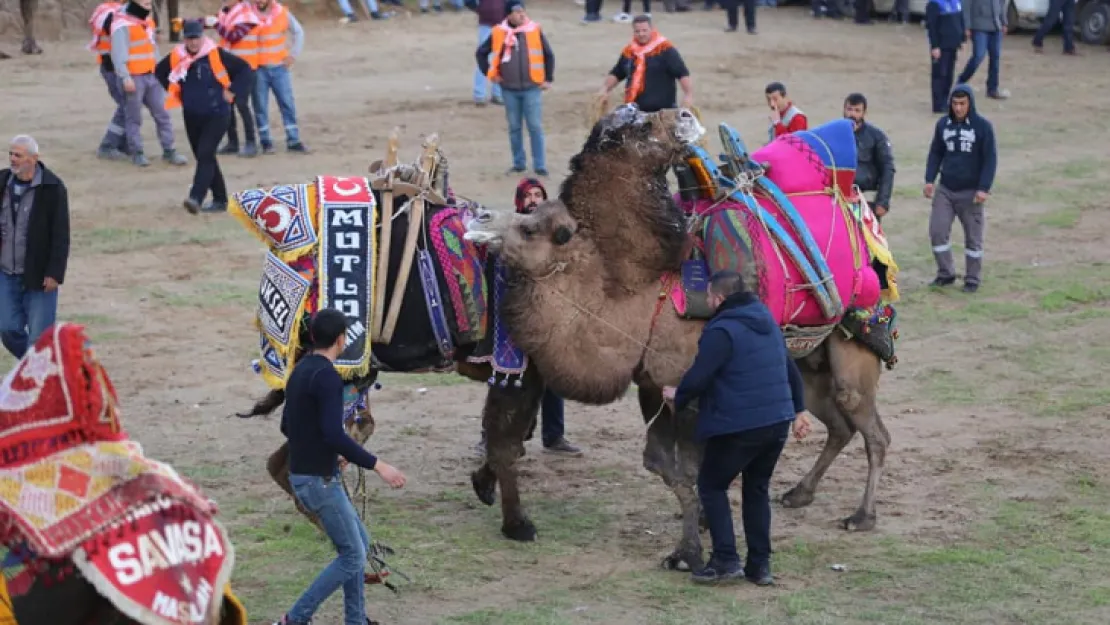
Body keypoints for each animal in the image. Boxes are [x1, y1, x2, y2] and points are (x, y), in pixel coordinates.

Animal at [466, 104, 892, 572]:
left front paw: (687, 552)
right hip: (809, 362)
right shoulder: (654, 385)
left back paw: (863, 516)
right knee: (838, 426)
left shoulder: (689, 392)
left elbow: (688, 471)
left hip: (854, 352)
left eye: (530, 228)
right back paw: (800, 493)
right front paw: (700, 524)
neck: (641, 296)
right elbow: (658, 462)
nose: (479, 216)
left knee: (873, 432)